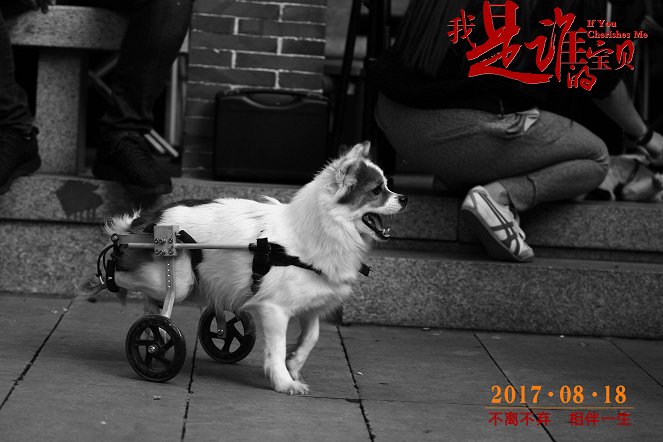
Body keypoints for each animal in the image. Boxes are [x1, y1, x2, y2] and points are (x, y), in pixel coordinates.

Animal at [78, 142, 410, 394]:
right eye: (377, 191)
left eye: (387, 186)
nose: (405, 197)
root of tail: (149, 219)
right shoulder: (275, 310)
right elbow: (276, 348)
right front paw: (283, 380)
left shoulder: (312, 304)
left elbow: (312, 337)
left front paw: (295, 363)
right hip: (176, 280)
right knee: (122, 278)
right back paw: (96, 288)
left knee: (158, 304)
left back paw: (155, 327)